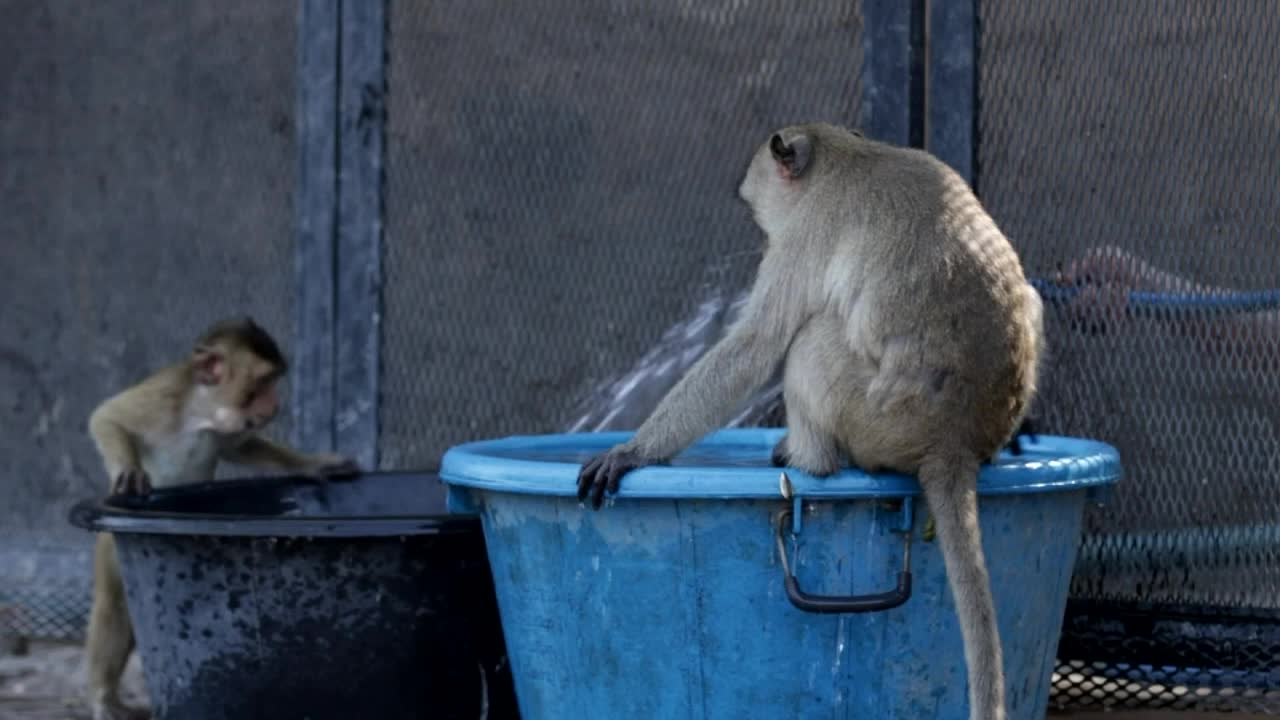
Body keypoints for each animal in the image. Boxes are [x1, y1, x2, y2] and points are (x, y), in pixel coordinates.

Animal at [82, 317, 358, 717]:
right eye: (264, 381)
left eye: (275, 380)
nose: (276, 403)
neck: (201, 413)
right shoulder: (165, 395)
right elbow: (106, 416)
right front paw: (129, 470)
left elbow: (243, 447)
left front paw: (315, 464)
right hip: (112, 548)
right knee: (114, 603)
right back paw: (103, 698)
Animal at [581, 122, 1039, 717]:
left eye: (762, 218)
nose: (760, 239)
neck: (842, 154)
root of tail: (953, 442)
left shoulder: (805, 235)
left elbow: (755, 347)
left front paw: (632, 452)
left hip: (878, 419)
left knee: (810, 342)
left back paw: (809, 460)